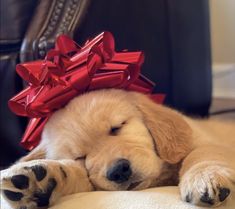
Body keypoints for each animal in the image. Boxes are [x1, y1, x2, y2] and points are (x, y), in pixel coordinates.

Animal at [0, 89, 235, 208]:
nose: (119, 171)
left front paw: (205, 178)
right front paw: (38, 177)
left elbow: (202, 153)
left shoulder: (205, 141)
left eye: (117, 128)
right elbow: (76, 174)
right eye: (80, 156)